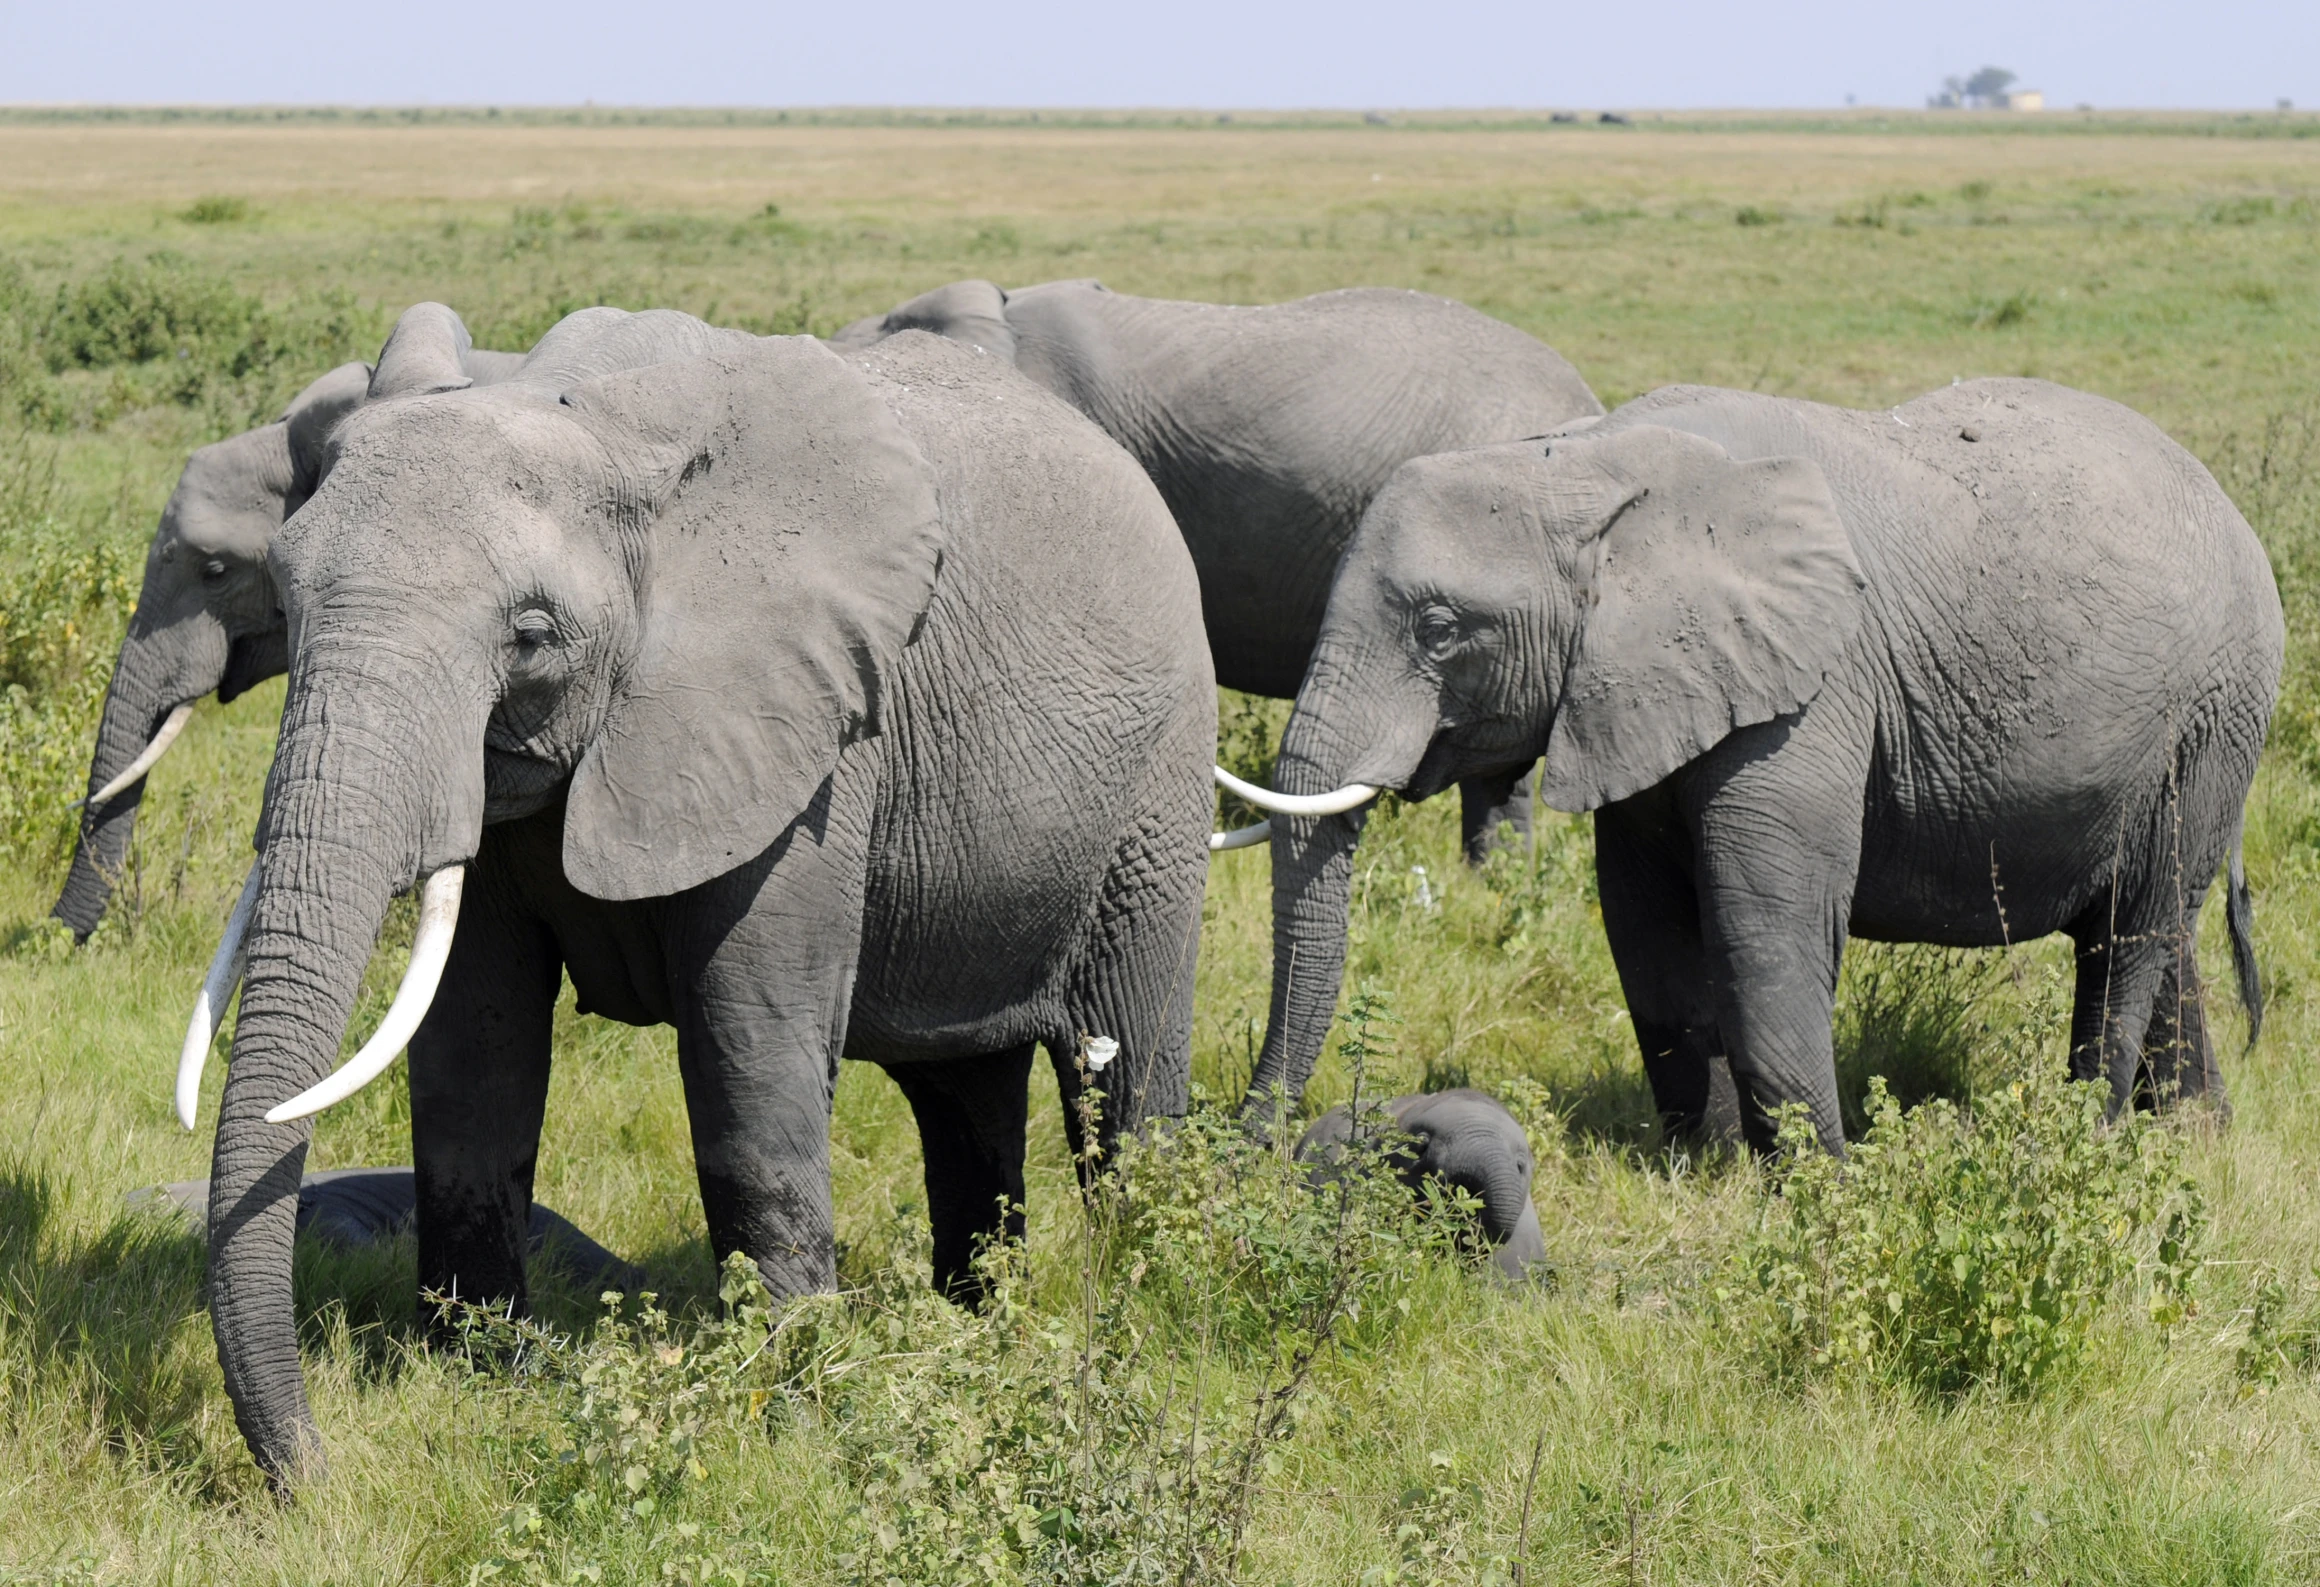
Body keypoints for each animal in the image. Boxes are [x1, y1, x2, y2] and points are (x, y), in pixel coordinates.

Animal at [180, 306, 1215, 1484]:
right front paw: (478, 1373)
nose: (322, 1468)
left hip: (1158, 788)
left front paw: (788, 1403)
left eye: (529, 635)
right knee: (963, 1089)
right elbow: (473, 1054)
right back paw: (976, 1326)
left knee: (1122, 1074)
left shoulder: (808, 744)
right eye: (283, 601)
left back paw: (1134, 1306)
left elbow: (747, 1048)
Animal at [1234, 385, 2282, 1150]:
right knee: (2156, 928)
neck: (1584, 462)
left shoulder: (1811, 691)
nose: (1253, 1145)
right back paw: (2199, 1137)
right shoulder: (1642, 692)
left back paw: (2081, 1141)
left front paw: (1820, 1186)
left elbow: (1766, 927)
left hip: (2213, 717)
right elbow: (1645, 922)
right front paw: (1704, 1165)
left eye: (1440, 630)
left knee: (2132, 933)